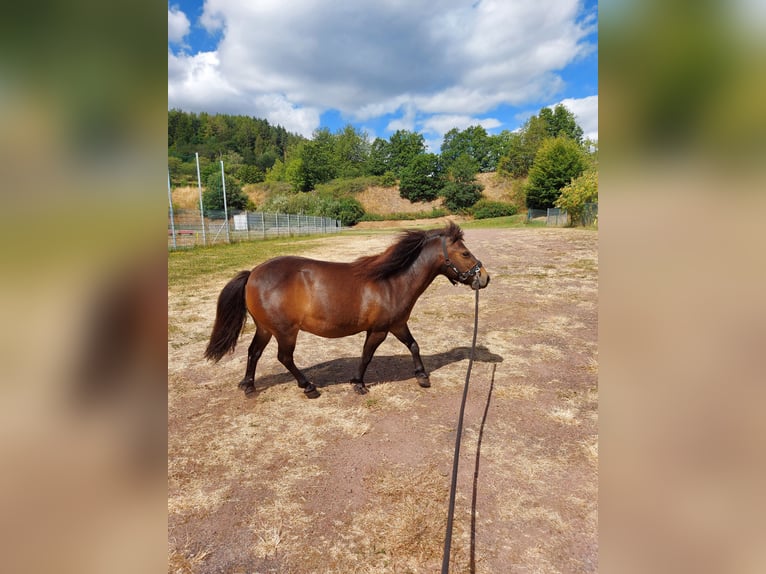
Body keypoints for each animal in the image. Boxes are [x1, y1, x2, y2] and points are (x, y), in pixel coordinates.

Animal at [204, 223, 492, 398]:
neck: (392, 281)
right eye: (465, 253)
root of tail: (253, 273)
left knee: (254, 353)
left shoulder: (397, 324)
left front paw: (422, 376)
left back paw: (249, 386)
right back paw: (309, 387)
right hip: (285, 331)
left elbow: (413, 345)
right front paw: (358, 384)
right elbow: (366, 356)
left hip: (266, 328)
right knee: (284, 358)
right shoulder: (379, 330)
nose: (485, 278)